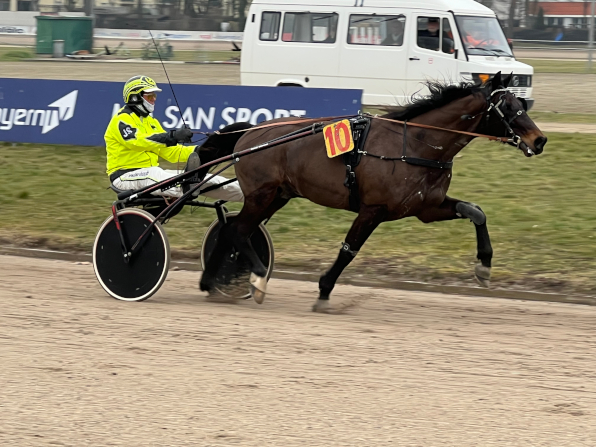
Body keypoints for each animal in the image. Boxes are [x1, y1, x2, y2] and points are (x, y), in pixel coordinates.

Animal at [198, 73, 548, 312]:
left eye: (521, 103)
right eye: (507, 107)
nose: (539, 140)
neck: (416, 146)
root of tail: (251, 132)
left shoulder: (426, 207)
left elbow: (476, 212)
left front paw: (484, 267)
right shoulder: (373, 209)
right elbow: (348, 250)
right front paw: (324, 291)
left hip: (277, 196)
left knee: (231, 230)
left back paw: (211, 282)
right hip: (262, 195)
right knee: (239, 231)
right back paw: (257, 279)